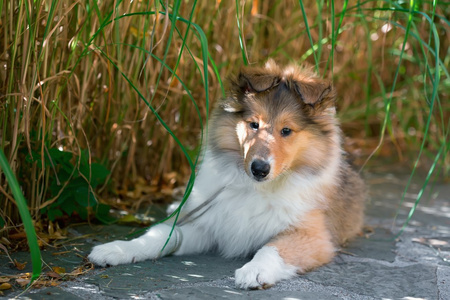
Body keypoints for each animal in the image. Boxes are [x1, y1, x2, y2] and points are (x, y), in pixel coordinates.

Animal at [89, 60, 366, 288]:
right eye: (253, 124)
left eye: (286, 130)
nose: (259, 169)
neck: (257, 188)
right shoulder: (210, 224)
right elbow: (163, 234)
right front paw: (116, 249)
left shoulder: (312, 235)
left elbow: (272, 248)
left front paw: (254, 271)